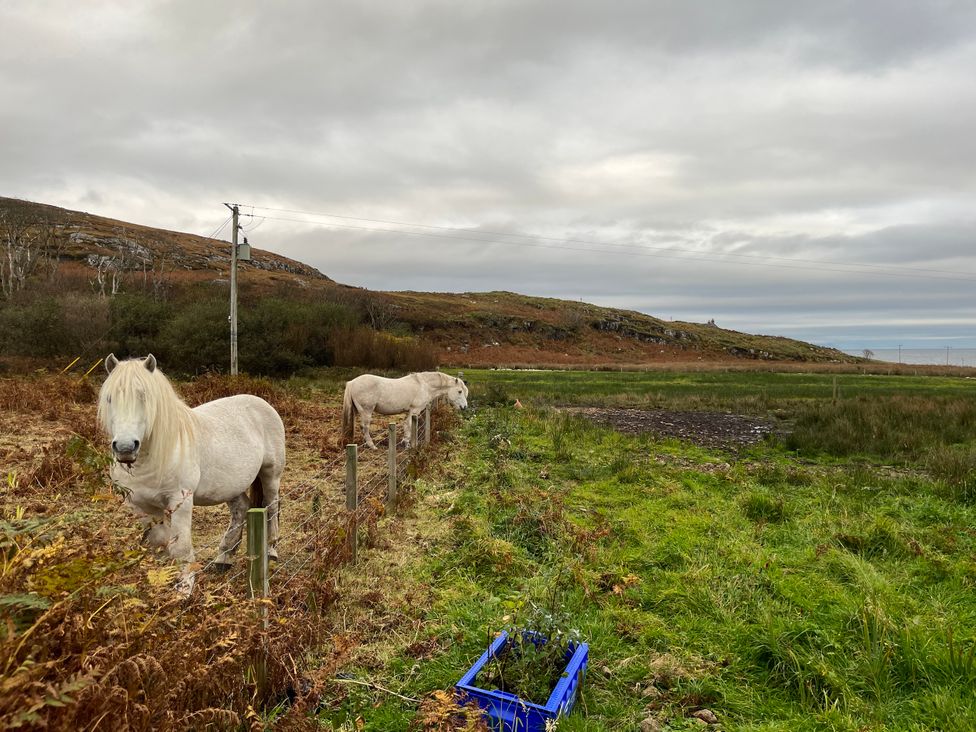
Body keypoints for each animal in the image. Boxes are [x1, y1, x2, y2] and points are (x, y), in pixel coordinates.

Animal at [97, 354, 286, 593]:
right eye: (110, 398)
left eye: (145, 397)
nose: (125, 447)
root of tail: (261, 402)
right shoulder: (141, 506)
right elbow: (159, 543)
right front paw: (161, 581)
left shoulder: (181, 501)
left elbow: (180, 547)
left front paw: (184, 589)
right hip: (231, 486)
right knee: (241, 509)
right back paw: (223, 559)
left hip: (271, 475)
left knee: (272, 508)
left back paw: (271, 552)